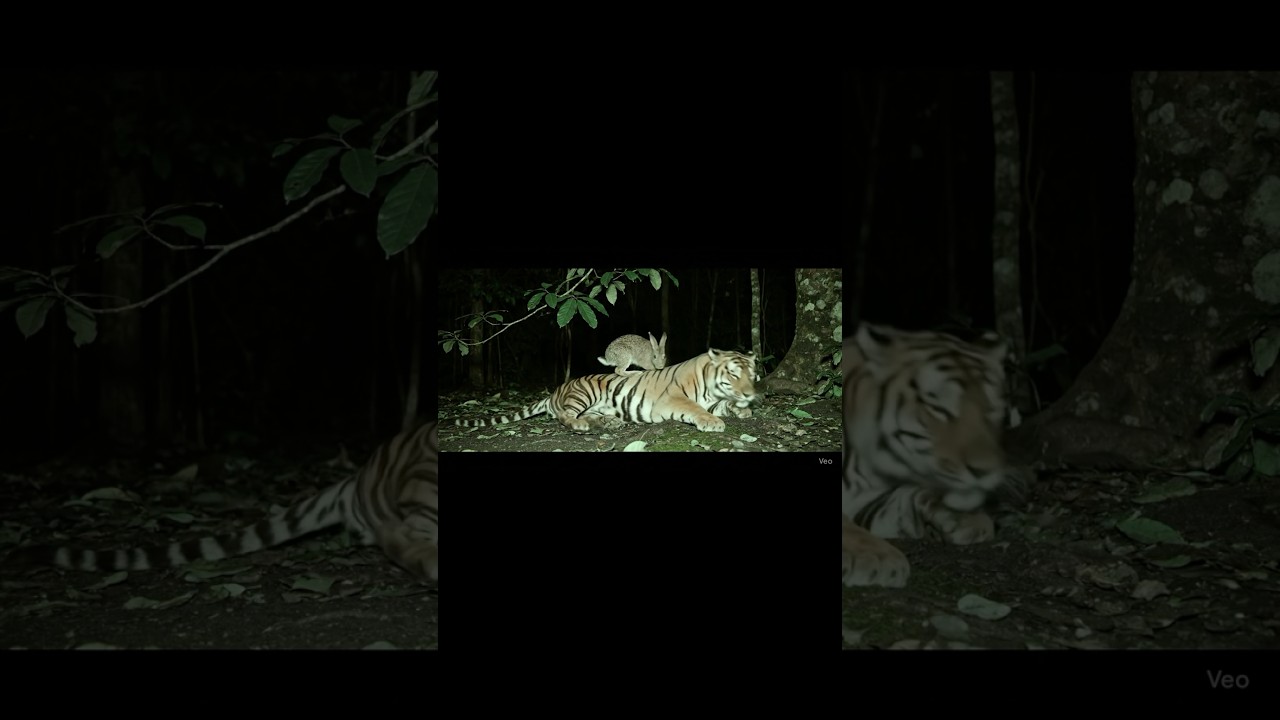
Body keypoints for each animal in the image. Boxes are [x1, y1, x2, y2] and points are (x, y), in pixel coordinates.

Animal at [456, 348, 757, 432]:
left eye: (751, 375)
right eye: (733, 374)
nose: (751, 394)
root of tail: (554, 392)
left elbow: (724, 405)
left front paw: (742, 410)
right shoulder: (671, 399)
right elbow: (694, 408)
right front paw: (713, 422)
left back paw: (609, 422)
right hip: (584, 392)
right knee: (565, 416)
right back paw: (581, 426)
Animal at [841, 323, 1009, 588]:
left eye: (991, 409)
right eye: (939, 409)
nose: (983, 471)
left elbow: (905, 500)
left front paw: (965, 518)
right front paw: (876, 558)